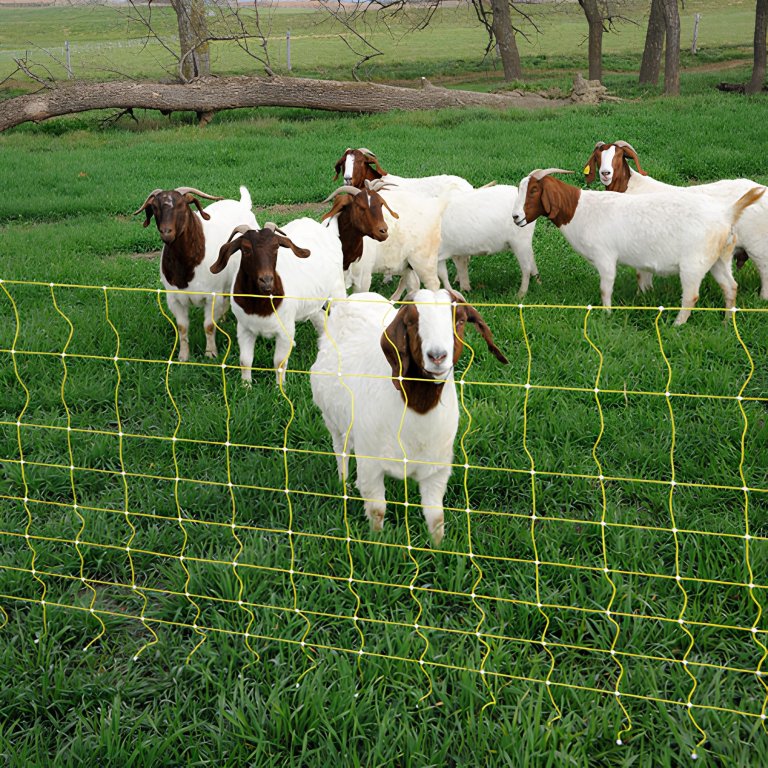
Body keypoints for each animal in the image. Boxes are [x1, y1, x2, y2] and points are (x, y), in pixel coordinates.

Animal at [135, 184, 258, 362]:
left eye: (181, 205)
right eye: (155, 207)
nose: (166, 232)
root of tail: (242, 204)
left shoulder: (212, 296)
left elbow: (208, 326)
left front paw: (211, 354)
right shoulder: (174, 299)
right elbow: (182, 327)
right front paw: (183, 356)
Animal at [208, 220, 344, 382]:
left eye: (276, 247)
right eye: (246, 249)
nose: (266, 280)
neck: (260, 305)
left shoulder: (285, 331)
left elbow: (279, 363)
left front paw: (280, 386)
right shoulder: (244, 328)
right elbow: (245, 361)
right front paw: (246, 385)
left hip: (337, 290)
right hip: (314, 301)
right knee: (321, 321)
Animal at [308, 288, 508, 544]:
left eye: (460, 320)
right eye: (411, 322)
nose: (437, 356)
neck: (417, 410)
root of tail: (360, 295)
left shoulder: (437, 468)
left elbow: (436, 517)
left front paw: (438, 547)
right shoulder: (371, 463)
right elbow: (377, 510)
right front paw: (377, 542)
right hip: (333, 420)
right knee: (340, 450)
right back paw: (344, 484)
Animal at [512, 168, 764, 324]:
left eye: (534, 190)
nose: (516, 217)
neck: (581, 209)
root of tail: (726, 213)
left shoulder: (605, 257)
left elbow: (605, 289)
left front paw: (607, 315)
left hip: (693, 264)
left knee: (691, 296)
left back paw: (677, 325)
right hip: (719, 259)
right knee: (731, 287)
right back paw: (726, 321)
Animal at [584, 141, 768, 300]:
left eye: (619, 155)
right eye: (598, 156)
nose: (605, 173)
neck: (631, 188)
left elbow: (641, 274)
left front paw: (642, 295)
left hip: (757, 243)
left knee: (764, 270)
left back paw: (762, 299)